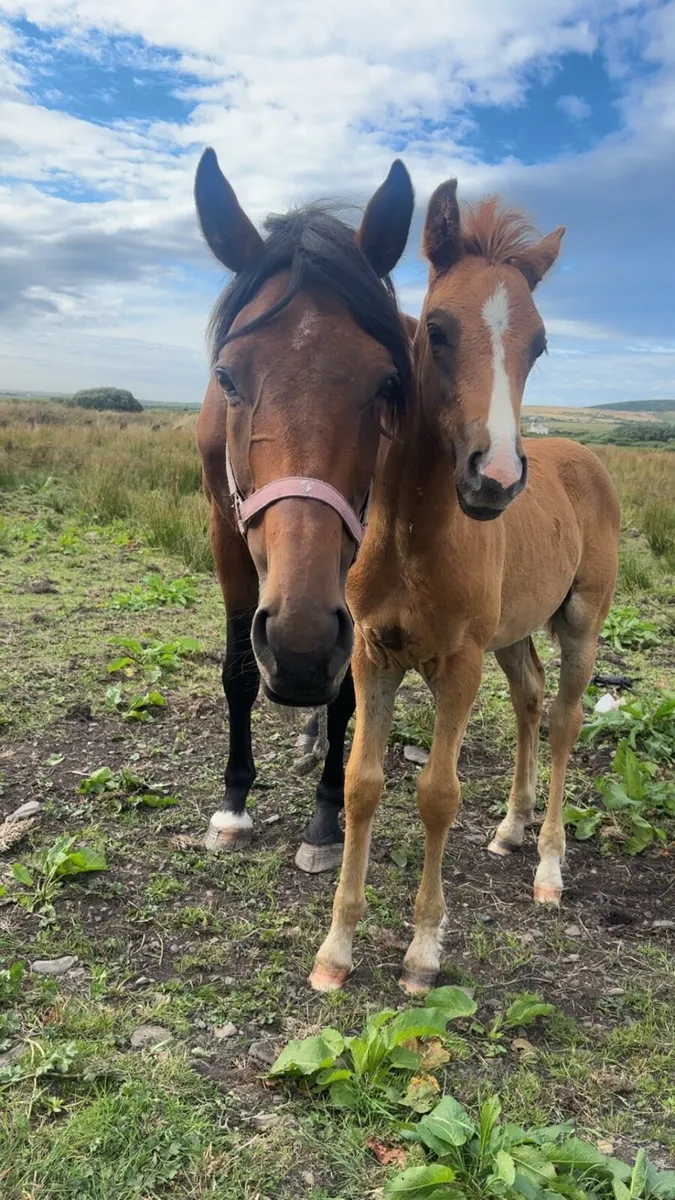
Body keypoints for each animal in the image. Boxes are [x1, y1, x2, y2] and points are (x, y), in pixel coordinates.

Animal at [193, 149, 415, 869]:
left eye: (387, 382)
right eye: (227, 377)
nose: (297, 648)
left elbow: (347, 686)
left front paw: (325, 815)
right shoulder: (224, 528)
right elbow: (238, 669)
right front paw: (234, 803)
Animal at [310, 179, 620, 994]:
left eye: (538, 344)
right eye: (438, 329)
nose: (496, 478)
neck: (415, 538)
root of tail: (585, 457)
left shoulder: (458, 665)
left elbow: (437, 795)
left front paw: (422, 951)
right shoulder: (372, 653)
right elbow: (361, 783)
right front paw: (336, 948)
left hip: (580, 622)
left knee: (565, 720)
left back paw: (548, 863)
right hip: (510, 636)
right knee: (531, 697)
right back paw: (511, 828)